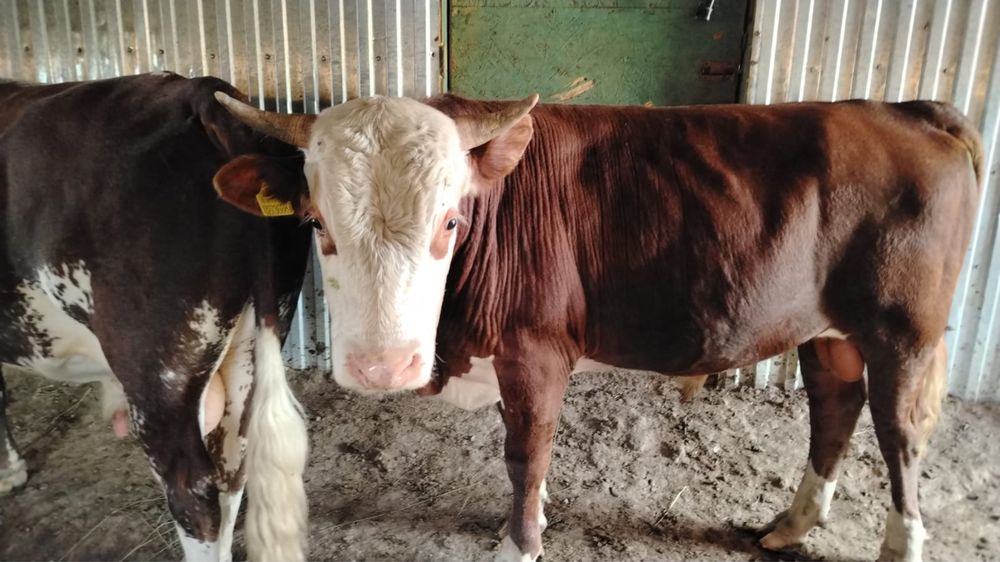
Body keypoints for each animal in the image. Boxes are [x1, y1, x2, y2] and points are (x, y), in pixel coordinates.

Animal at [0, 73, 314, 561]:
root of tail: (199, 94)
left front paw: (9, 472)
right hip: (253, 344)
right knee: (233, 468)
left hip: (157, 375)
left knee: (192, 493)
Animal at [212, 92, 983, 562]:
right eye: (317, 223)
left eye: (450, 222)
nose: (382, 366)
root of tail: (908, 111)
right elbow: (531, 450)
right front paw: (539, 515)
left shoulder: (535, 349)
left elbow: (525, 452)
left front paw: (520, 541)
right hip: (826, 329)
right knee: (835, 407)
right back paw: (791, 525)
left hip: (904, 331)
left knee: (899, 433)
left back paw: (899, 543)